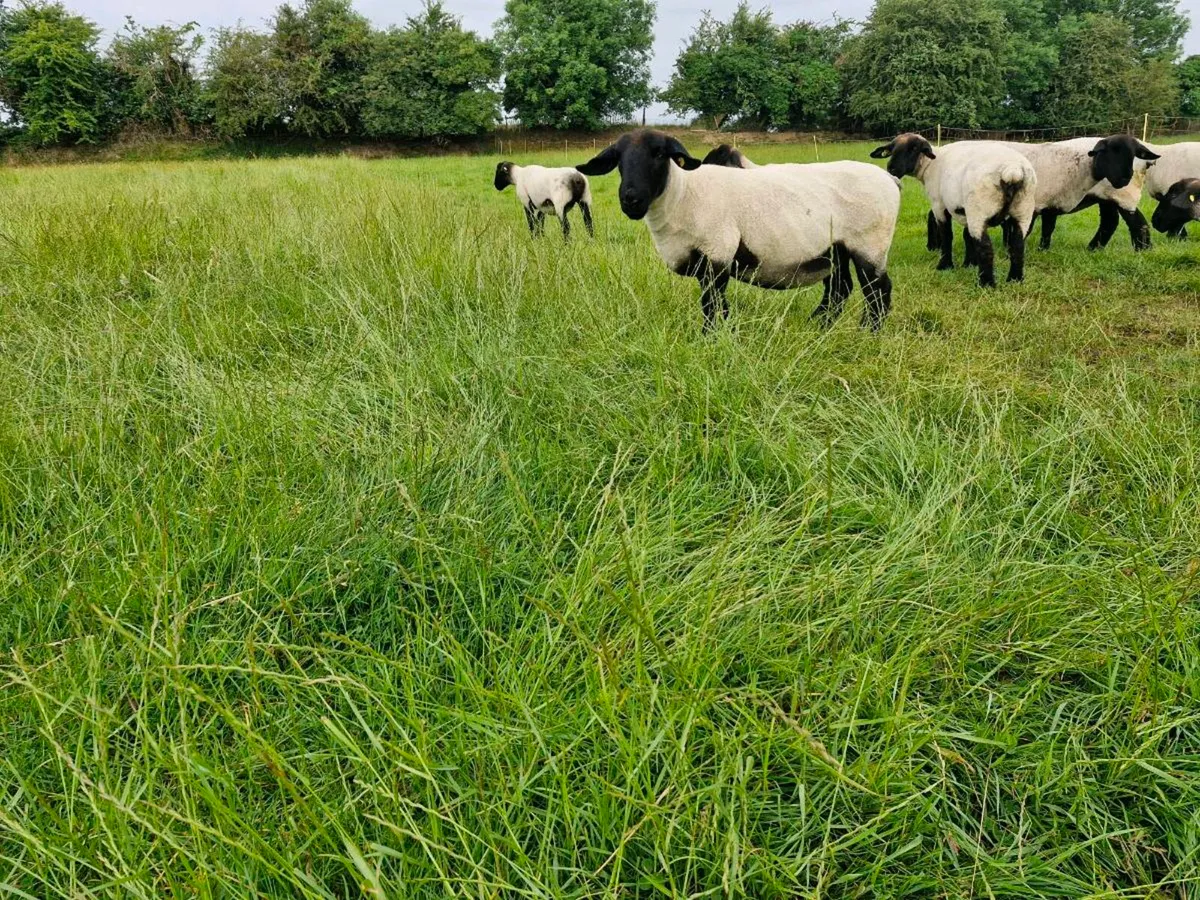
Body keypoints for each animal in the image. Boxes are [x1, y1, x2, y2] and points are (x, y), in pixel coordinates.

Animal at [575, 129, 901, 331]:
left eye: (659, 154)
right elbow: (720, 305)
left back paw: (867, 334)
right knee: (839, 290)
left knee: (878, 291)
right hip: (836, 249)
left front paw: (710, 338)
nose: (631, 199)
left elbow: (712, 303)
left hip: (869, 244)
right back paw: (819, 328)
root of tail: (891, 180)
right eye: (618, 159)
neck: (684, 195)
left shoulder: (717, 253)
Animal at [872, 134, 1036, 287]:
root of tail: (1012, 170)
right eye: (891, 149)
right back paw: (1015, 280)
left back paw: (986, 283)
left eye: (913, 148)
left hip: (979, 209)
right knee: (1018, 246)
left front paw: (945, 265)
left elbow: (946, 235)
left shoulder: (939, 205)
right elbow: (967, 236)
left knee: (986, 248)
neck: (929, 165)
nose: (891, 168)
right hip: (1022, 209)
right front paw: (969, 263)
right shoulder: (965, 210)